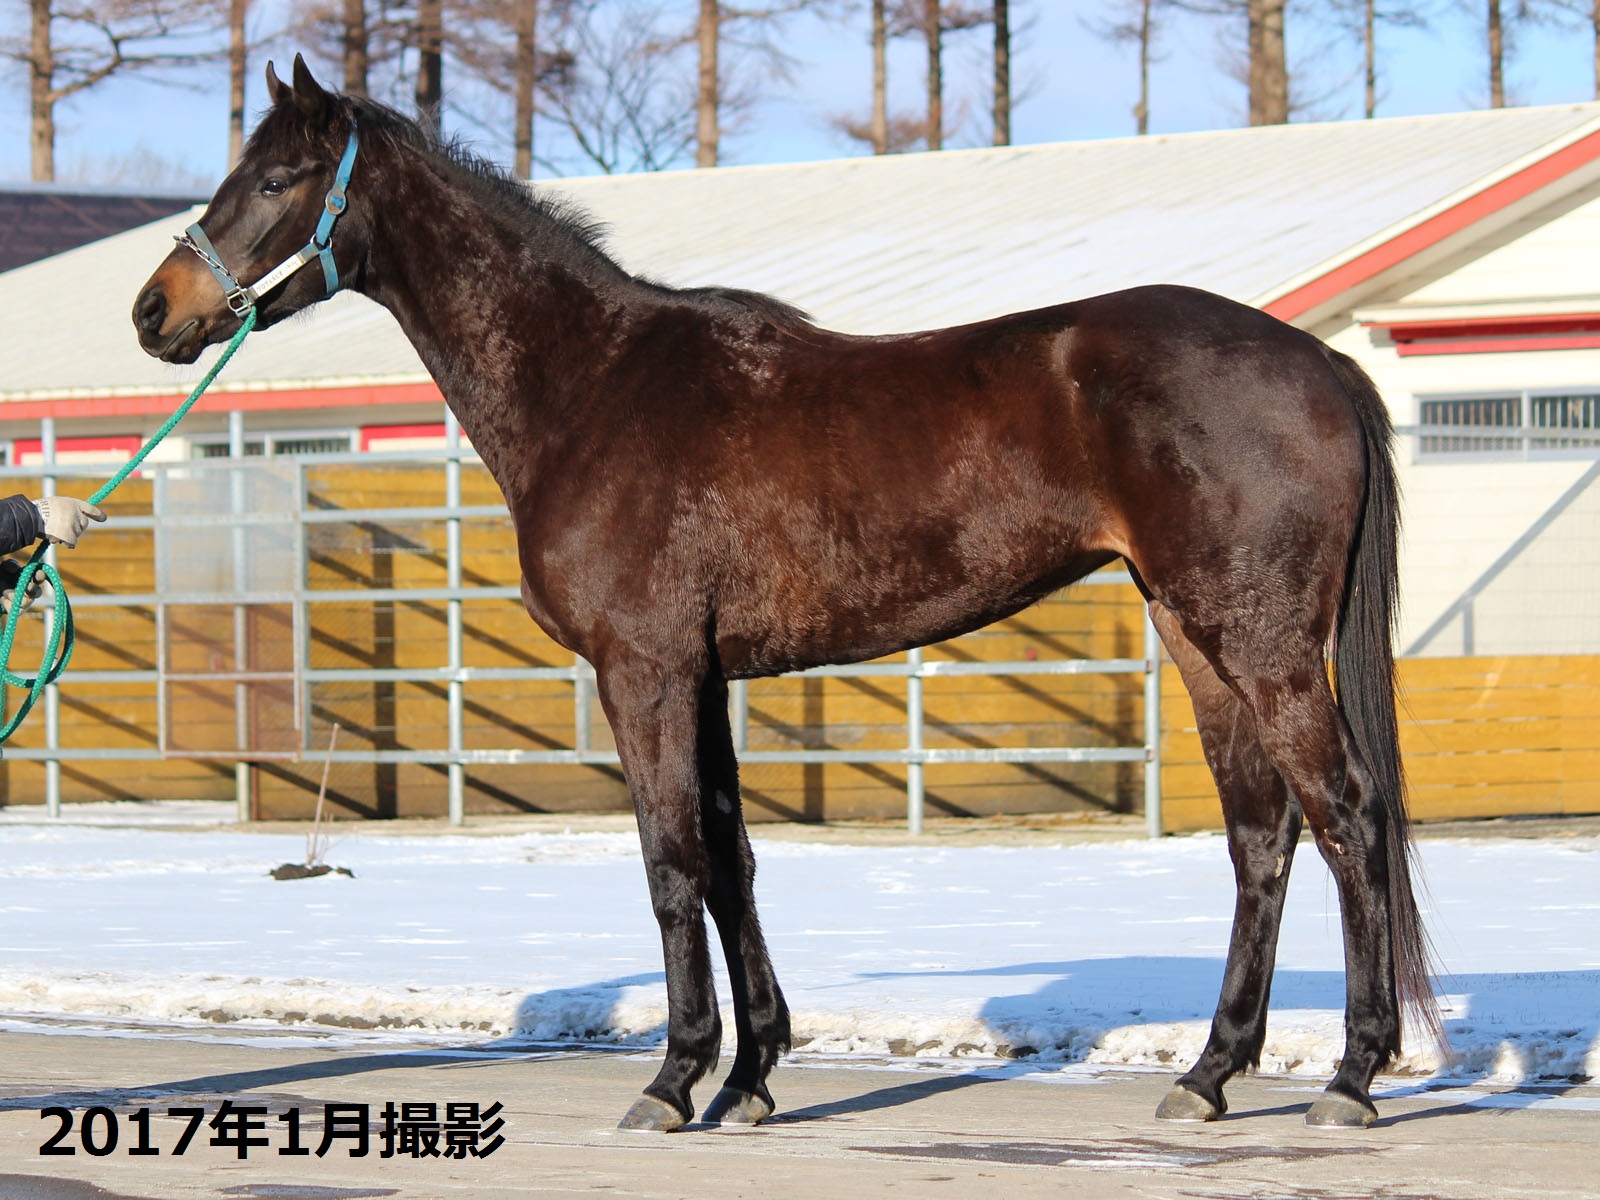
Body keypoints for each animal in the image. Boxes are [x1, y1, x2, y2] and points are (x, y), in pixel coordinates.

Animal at [134, 56, 1439, 1133]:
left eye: (279, 177)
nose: (156, 312)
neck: (594, 384)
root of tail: (1315, 359)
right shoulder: (703, 676)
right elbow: (730, 858)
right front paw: (751, 1076)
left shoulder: (645, 669)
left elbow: (670, 863)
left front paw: (673, 1081)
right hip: (1196, 637)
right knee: (1261, 832)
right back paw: (1209, 1075)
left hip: (1259, 643)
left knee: (1347, 813)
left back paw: (1350, 1076)